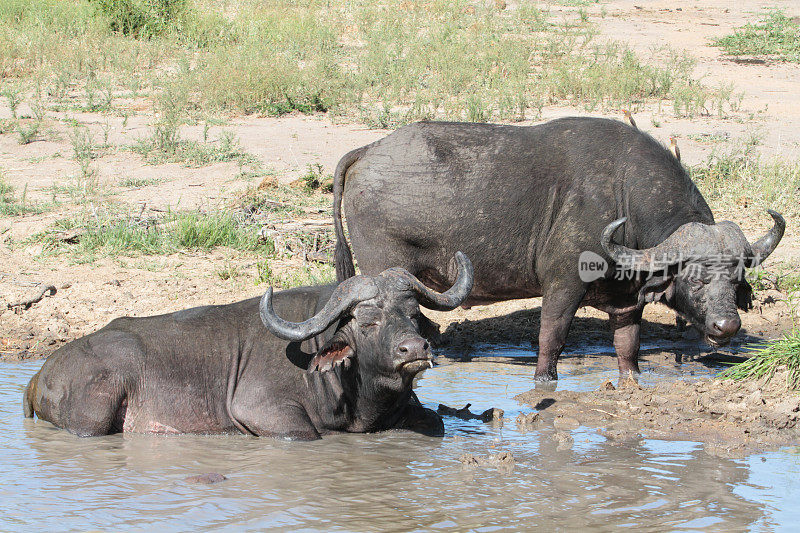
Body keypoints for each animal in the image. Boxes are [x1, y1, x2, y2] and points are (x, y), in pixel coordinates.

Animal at [23, 256, 476, 438]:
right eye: (368, 323)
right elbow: (306, 432)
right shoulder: (262, 410)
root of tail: (41, 371)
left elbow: (436, 422)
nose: (414, 349)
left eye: (413, 314)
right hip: (94, 417)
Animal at [332, 118, 788, 380]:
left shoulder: (626, 300)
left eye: (736, 278)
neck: (622, 195)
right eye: (694, 280)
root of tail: (369, 151)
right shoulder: (563, 287)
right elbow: (551, 341)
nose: (726, 327)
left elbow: (628, 348)